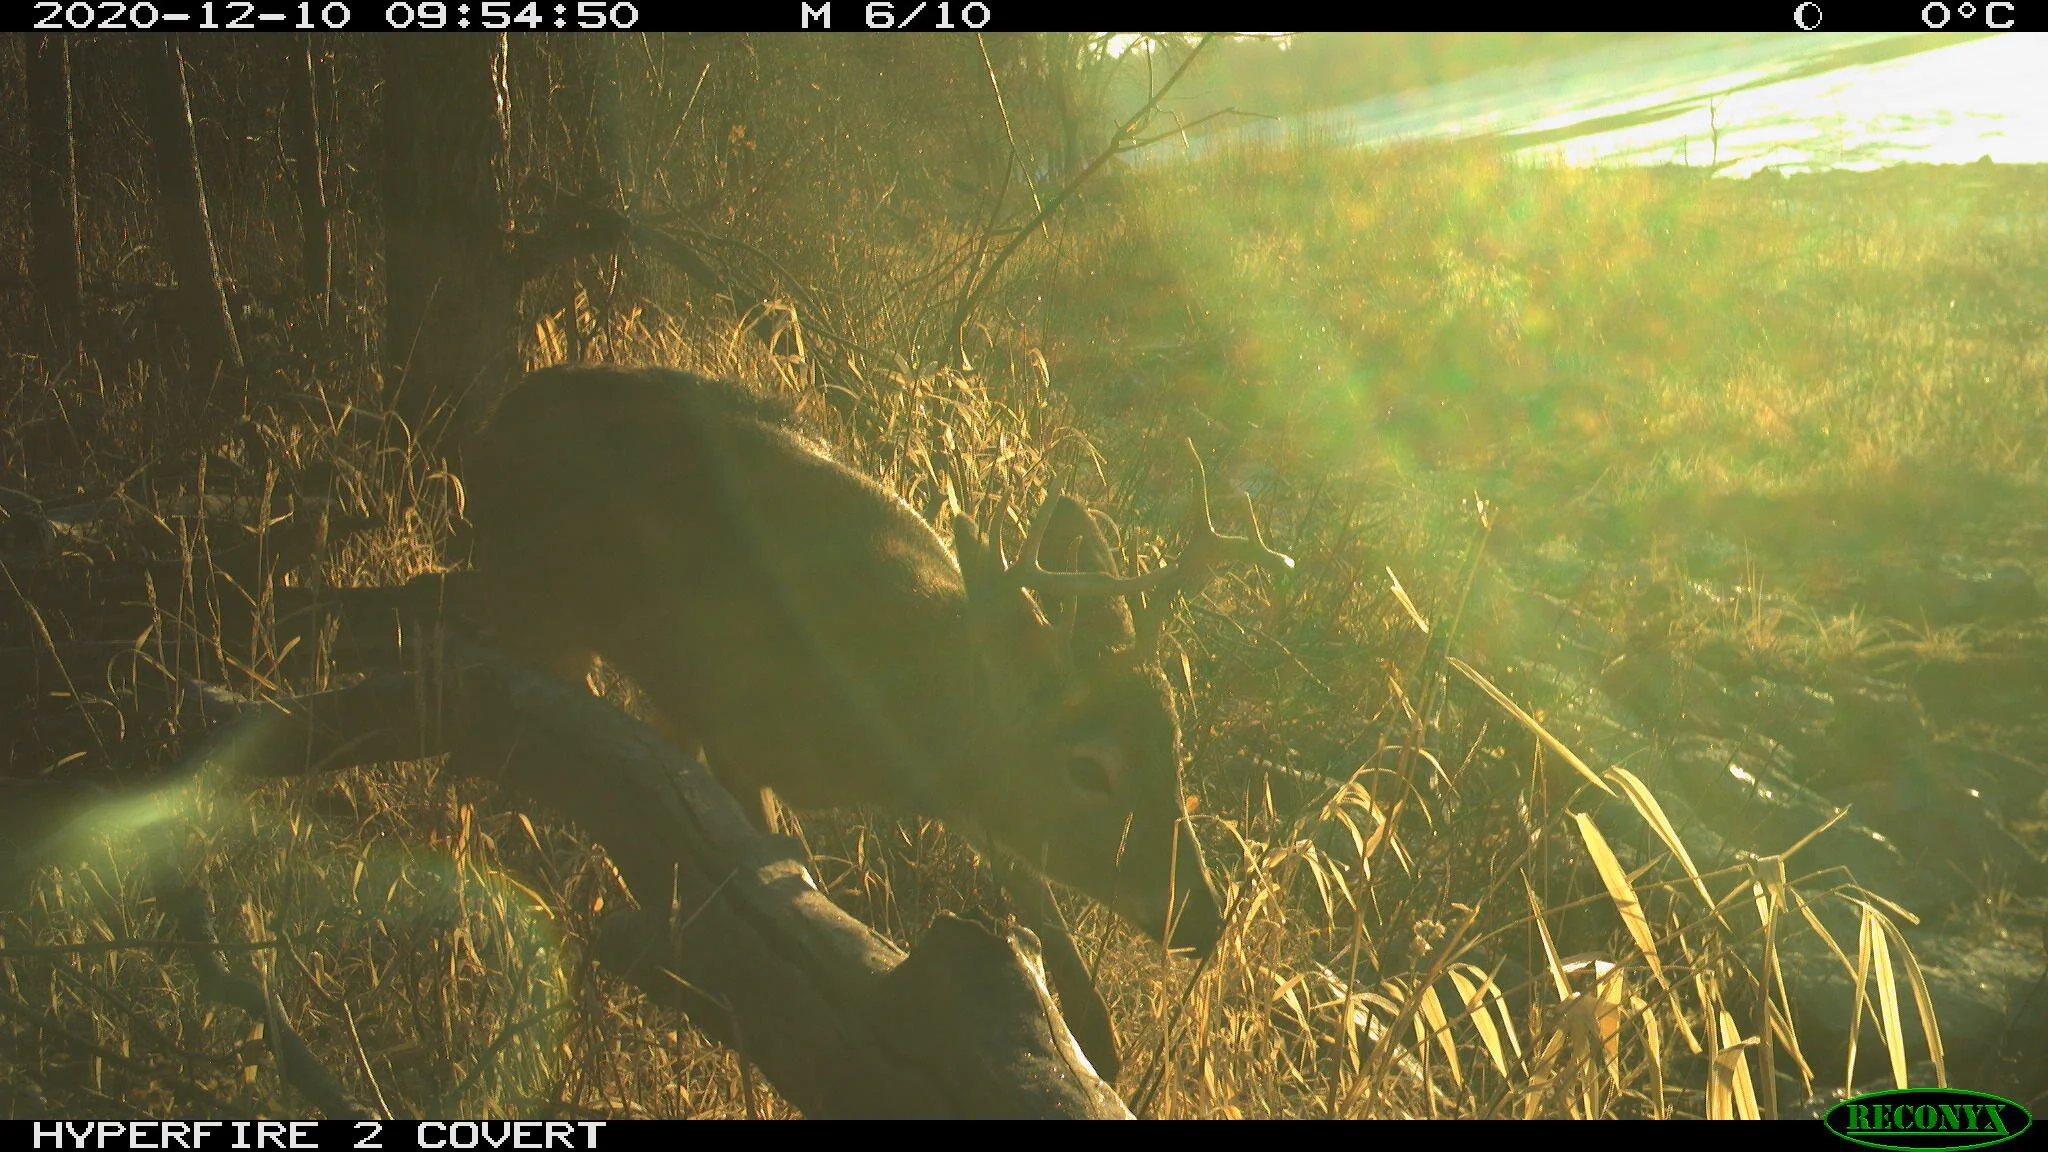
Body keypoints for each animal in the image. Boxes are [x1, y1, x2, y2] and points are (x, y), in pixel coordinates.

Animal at [460, 364, 1292, 1080]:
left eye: (1174, 751)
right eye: (1088, 767)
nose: (1202, 917)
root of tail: (504, 409)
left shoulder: (976, 813)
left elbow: (1088, 1012)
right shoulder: (736, 733)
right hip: (534, 608)